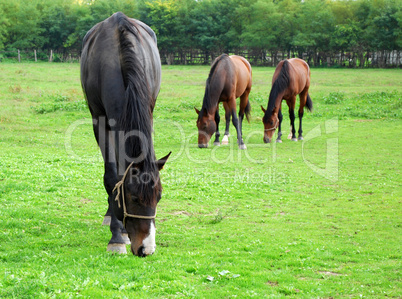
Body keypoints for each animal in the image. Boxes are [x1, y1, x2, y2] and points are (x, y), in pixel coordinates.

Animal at [81, 12, 170, 258]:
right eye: (133, 197)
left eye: (159, 197)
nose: (145, 249)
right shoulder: (100, 120)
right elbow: (112, 176)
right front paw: (116, 237)